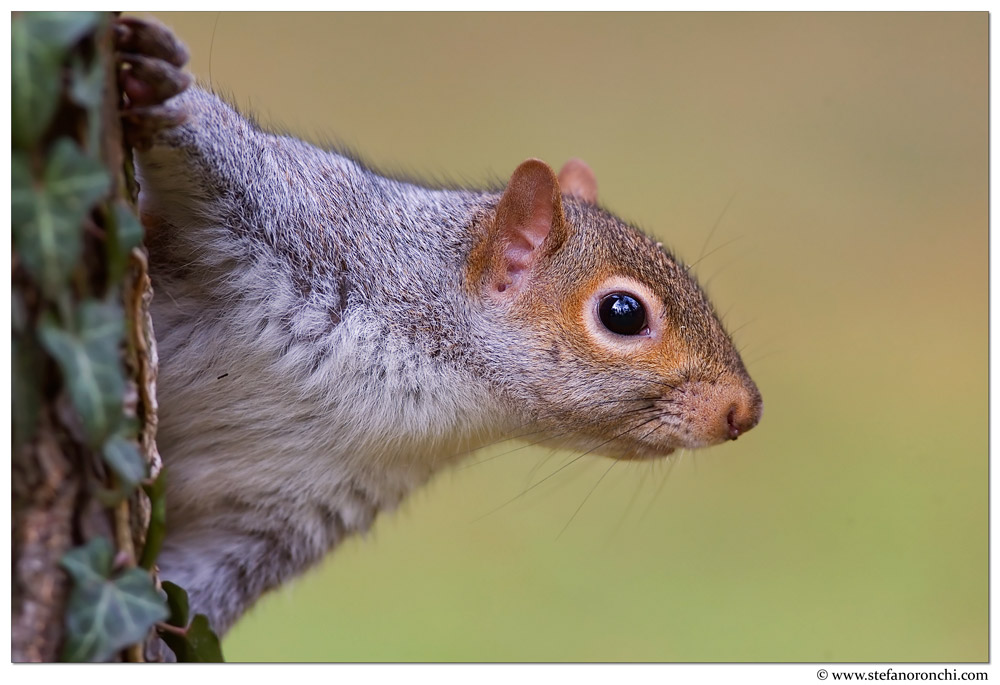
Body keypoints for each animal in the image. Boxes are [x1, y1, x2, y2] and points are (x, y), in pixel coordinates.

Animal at [116, 17, 763, 638]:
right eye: (623, 313)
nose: (744, 412)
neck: (433, 377)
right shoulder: (305, 215)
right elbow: (223, 152)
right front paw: (165, 89)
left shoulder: (292, 506)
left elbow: (210, 576)